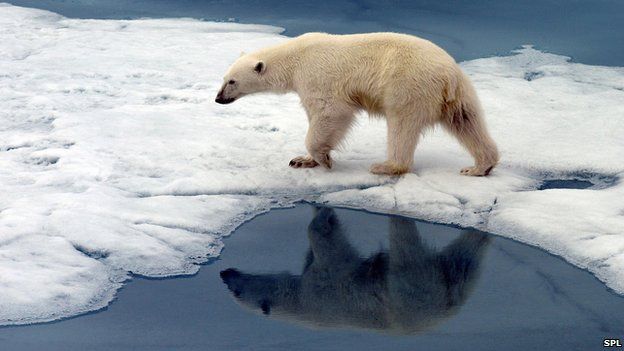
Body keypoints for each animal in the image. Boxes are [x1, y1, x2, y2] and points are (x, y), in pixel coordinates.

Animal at [217, 32, 500, 176]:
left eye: (232, 81)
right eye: (223, 78)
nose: (218, 98)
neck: (296, 57)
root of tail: (448, 74)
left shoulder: (317, 76)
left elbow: (331, 111)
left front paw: (323, 160)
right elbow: (314, 115)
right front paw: (302, 160)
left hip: (408, 86)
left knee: (401, 125)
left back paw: (386, 166)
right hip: (459, 94)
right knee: (467, 121)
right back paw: (480, 166)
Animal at [221, 208, 492, 334]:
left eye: (236, 293)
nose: (225, 275)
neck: (299, 301)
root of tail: (447, 303)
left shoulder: (322, 286)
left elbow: (325, 242)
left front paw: (322, 214)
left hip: (410, 293)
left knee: (403, 252)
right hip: (445, 282)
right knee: (463, 260)